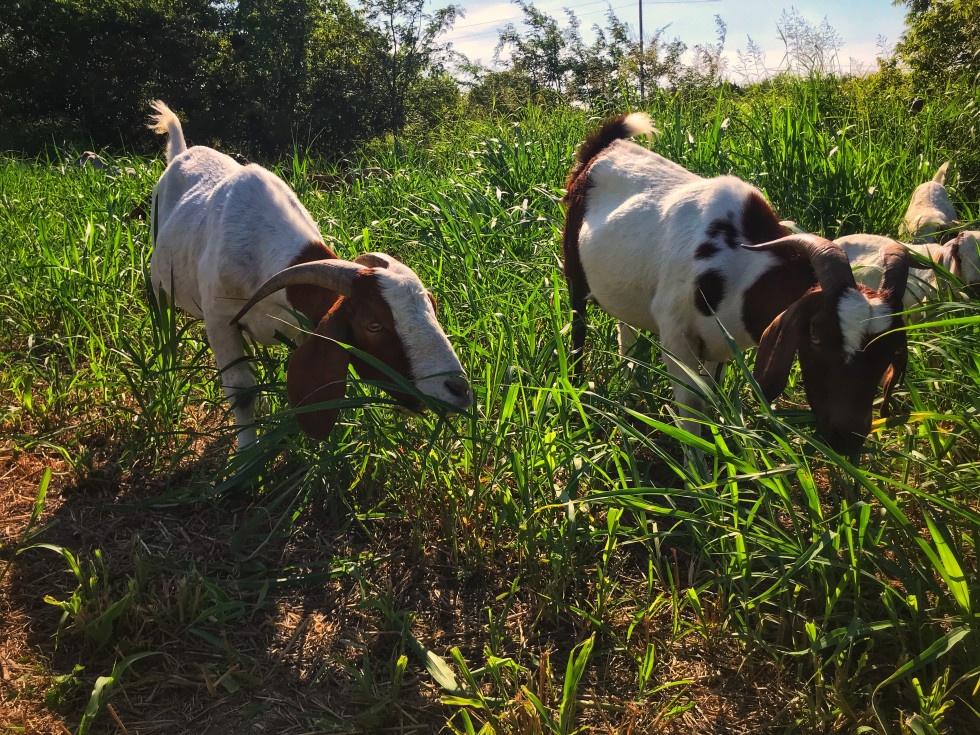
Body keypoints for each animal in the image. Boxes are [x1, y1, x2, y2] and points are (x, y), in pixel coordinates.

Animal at [147, 101, 472, 448]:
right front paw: (246, 453)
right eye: (373, 325)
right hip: (158, 282)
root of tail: (181, 152)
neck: (260, 243)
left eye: (433, 308)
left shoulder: (303, 325)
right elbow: (243, 393)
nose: (459, 392)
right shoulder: (220, 320)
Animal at [563, 113, 910, 455]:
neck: (741, 267)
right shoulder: (676, 333)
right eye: (815, 335)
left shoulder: (719, 342)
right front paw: (699, 465)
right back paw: (578, 392)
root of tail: (601, 149)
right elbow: (692, 406)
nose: (847, 438)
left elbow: (711, 395)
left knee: (626, 331)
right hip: (574, 273)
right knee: (578, 328)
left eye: (891, 349)